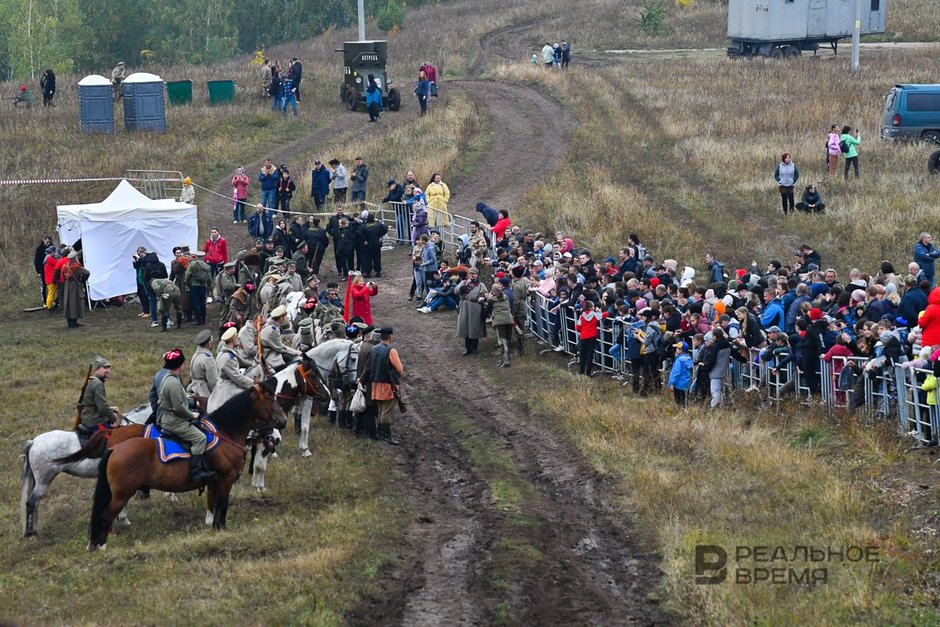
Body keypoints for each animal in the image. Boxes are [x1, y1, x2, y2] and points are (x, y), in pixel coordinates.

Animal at [19, 404, 151, 536]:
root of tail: (33, 442)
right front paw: (123, 520)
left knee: (35, 503)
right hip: (44, 481)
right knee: (31, 503)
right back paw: (30, 534)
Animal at [87, 380, 282, 552]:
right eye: (271, 399)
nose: (282, 421)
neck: (225, 433)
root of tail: (114, 448)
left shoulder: (214, 481)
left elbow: (213, 503)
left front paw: (214, 528)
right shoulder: (225, 479)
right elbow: (223, 504)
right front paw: (222, 528)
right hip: (121, 494)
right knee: (105, 516)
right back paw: (102, 545)